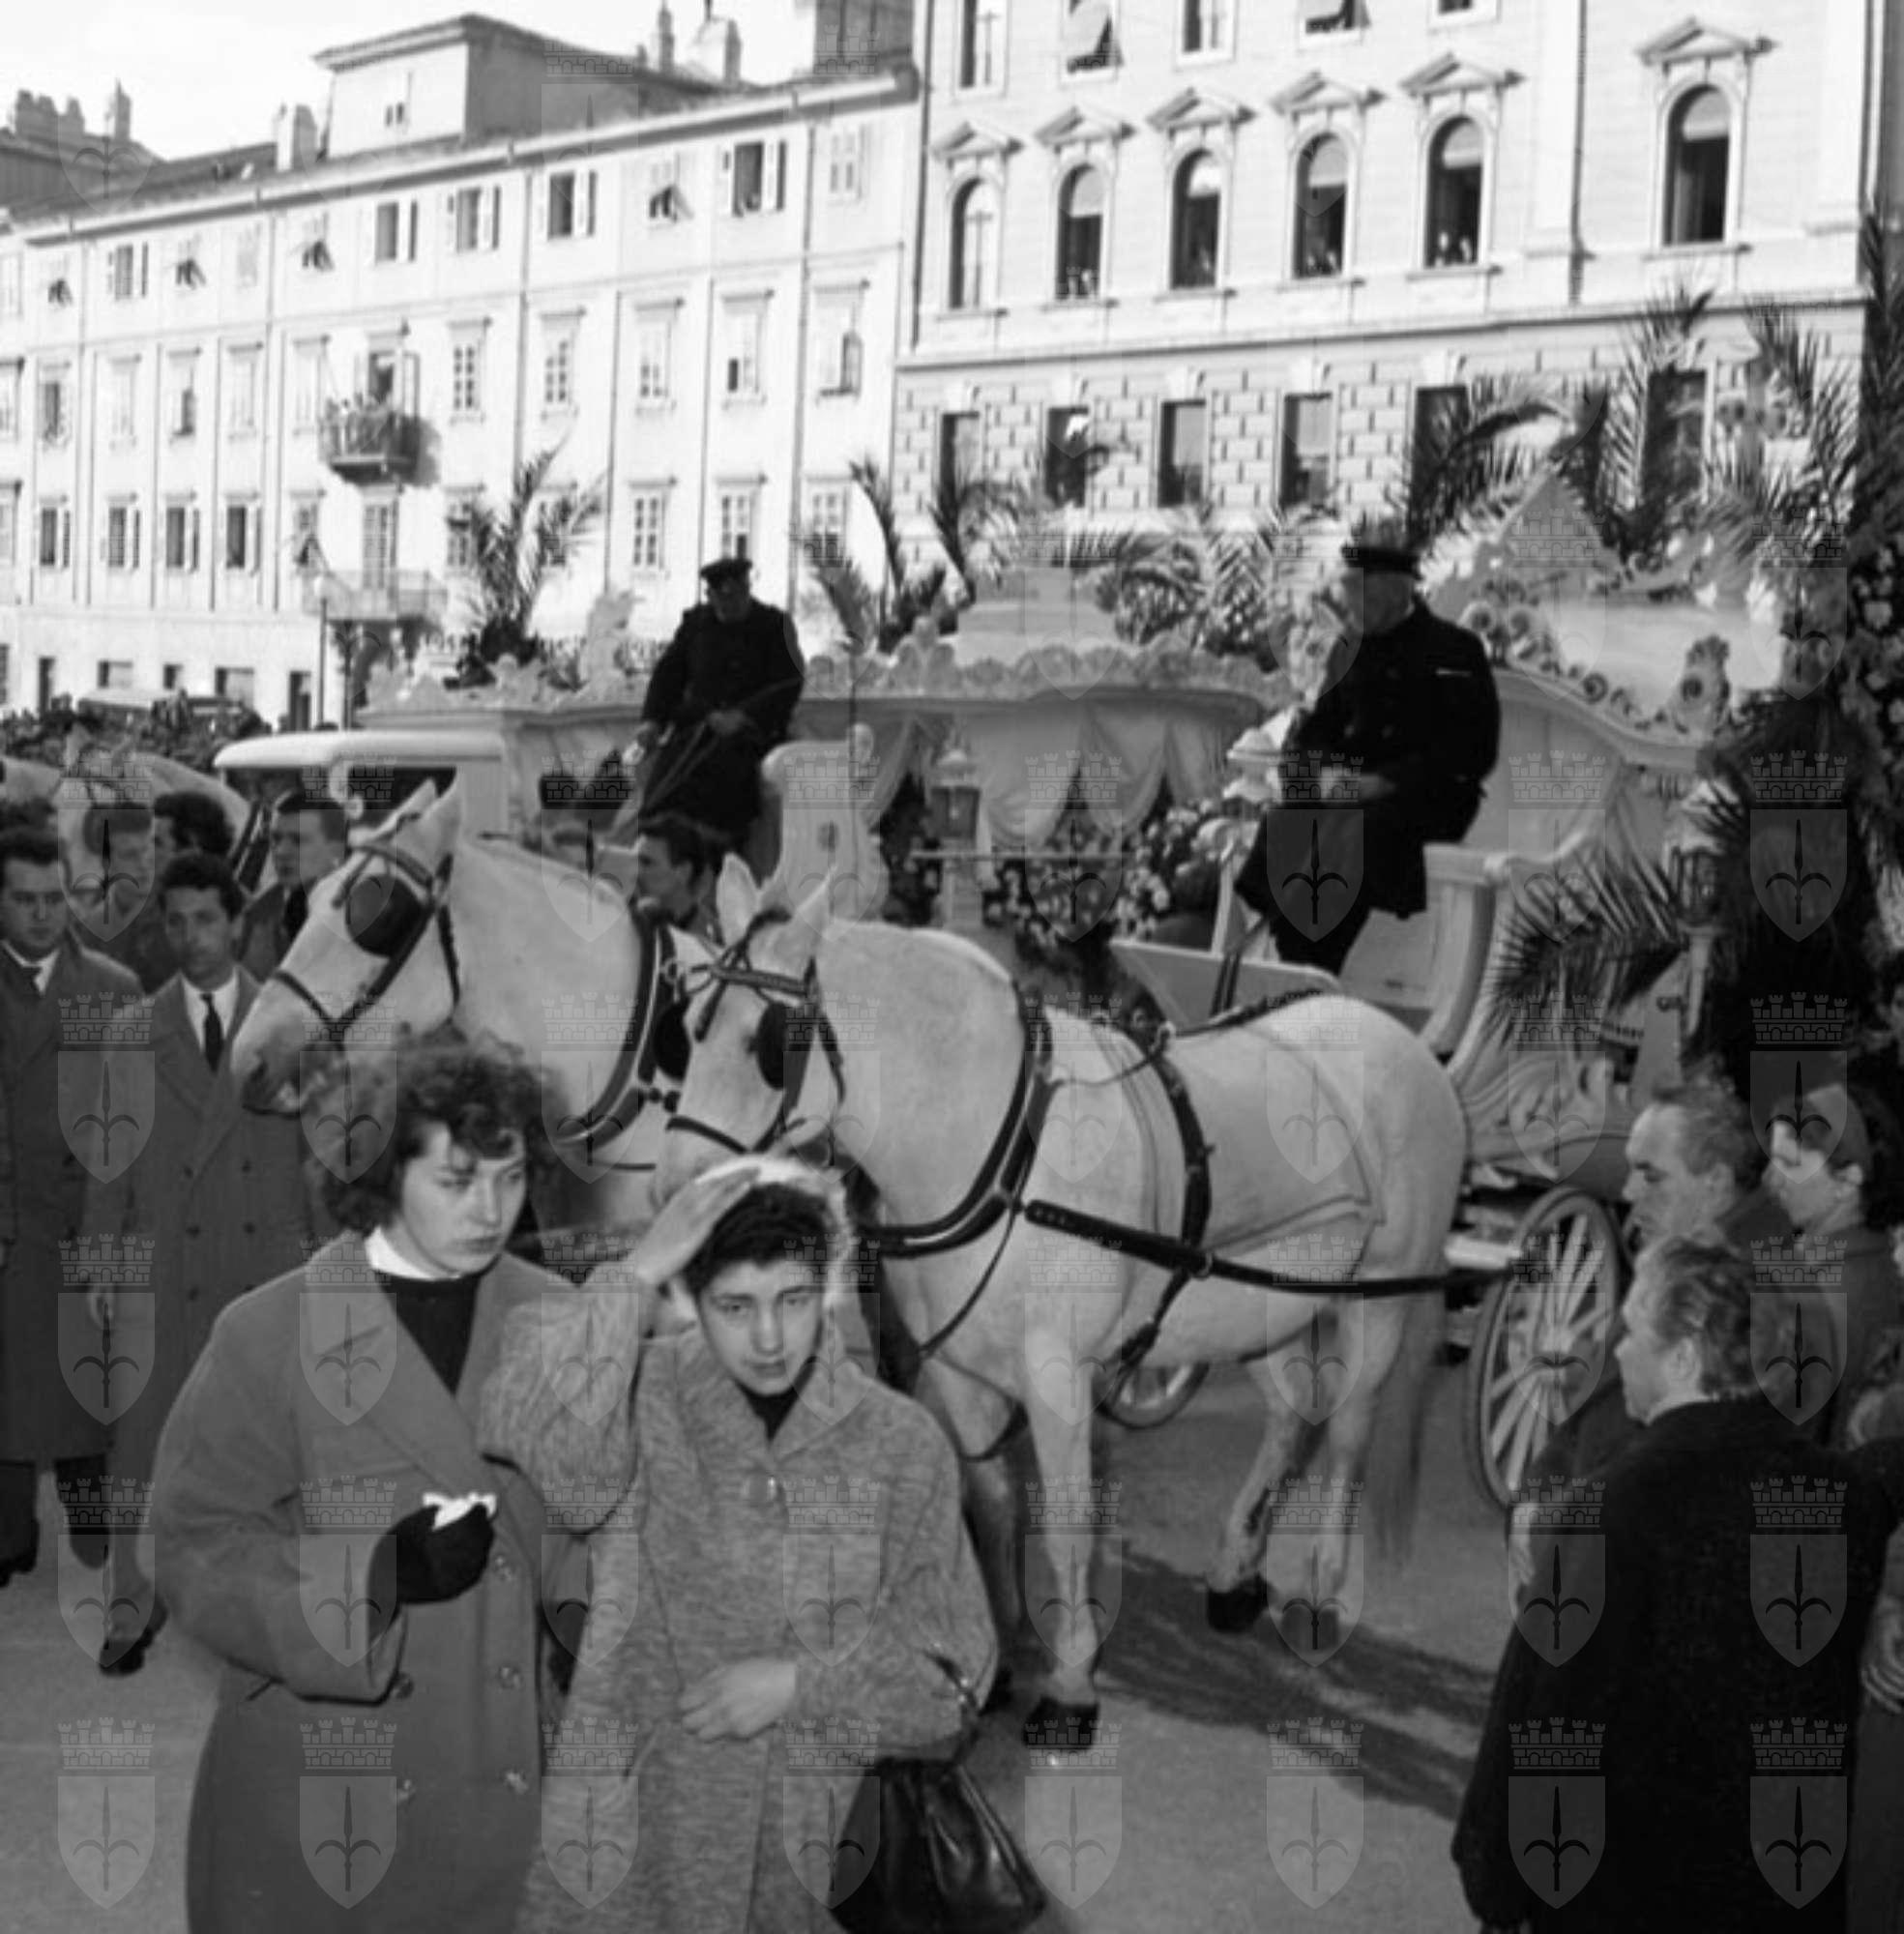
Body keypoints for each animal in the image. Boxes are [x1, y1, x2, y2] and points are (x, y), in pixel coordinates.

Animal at [657, 858, 1467, 1743]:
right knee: (1292, 1415)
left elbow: (1070, 1526)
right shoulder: (961, 1372)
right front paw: (997, 1651)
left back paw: (1322, 1589)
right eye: (688, 1027)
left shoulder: (1058, 1377)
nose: (676, 1199)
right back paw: (1235, 1572)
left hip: (1378, 1297)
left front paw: (1071, 1682)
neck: (1000, 1151)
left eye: (764, 1044)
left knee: (1349, 1430)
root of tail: (1396, 1037)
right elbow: (991, 1503)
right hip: (1264, 1306)